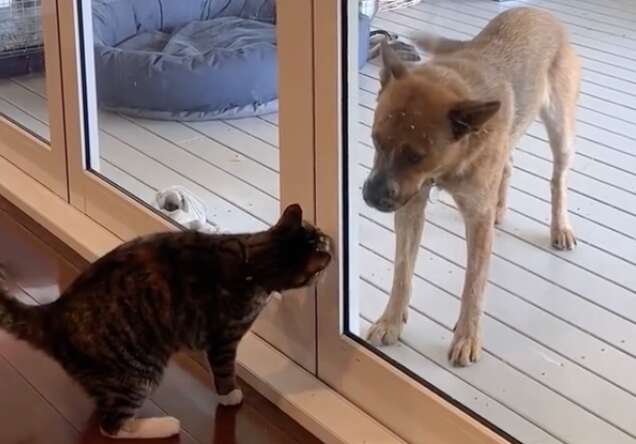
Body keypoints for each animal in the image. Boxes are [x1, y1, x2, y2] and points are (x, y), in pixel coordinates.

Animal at [0, 206, 330, 440]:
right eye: (322, 239)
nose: (332, 242)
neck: (253, 260)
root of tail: (52, 313)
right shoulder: (224, 337)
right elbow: (224, 371)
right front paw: (230, 396)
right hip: (139, 370)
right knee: (111, 426)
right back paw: (165, 425)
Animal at [362, 6, 580, 366]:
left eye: (415, 156)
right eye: (376, 140)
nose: (370, 197)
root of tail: (538, 11)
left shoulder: (475, 220)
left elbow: (473, 284)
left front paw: (467, 336)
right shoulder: (411, 207)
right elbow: (402, 271)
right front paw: (391, 321)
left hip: (560, 131)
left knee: (558, 179)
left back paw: (560, 226)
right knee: (509, 165)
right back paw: (501, 208)